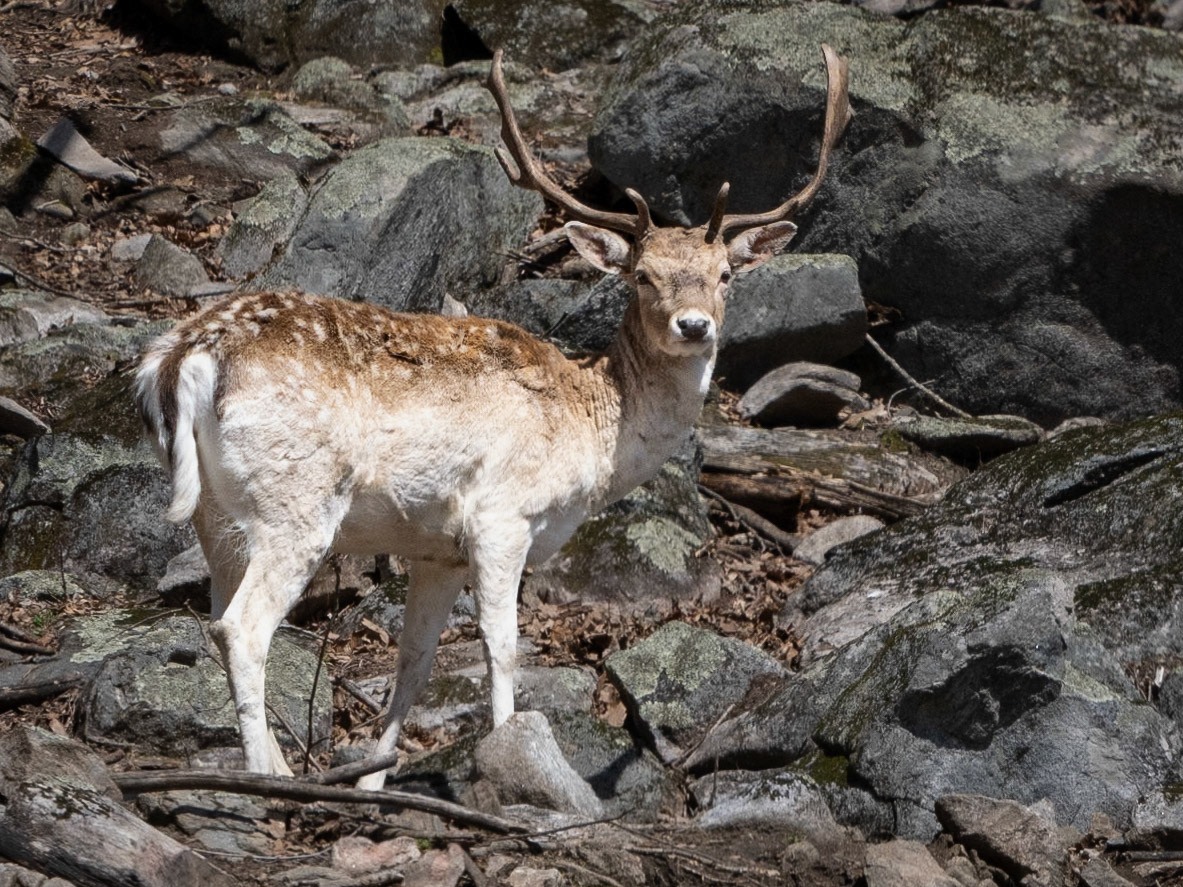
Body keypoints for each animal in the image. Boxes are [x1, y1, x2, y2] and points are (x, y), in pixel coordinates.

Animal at [135, 46, 850, 791]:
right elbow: (502, 648)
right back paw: (262, 777)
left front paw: (373, 779)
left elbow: (414, 664)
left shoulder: (437, 548)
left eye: (724, 276)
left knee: (217, 616)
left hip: (214, 514)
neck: (592, 432)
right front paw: (513, 761)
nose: (693, 325)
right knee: (242, 628)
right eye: (642, 275)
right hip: (296, 501)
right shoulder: (501, 515)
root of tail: (185, 355)